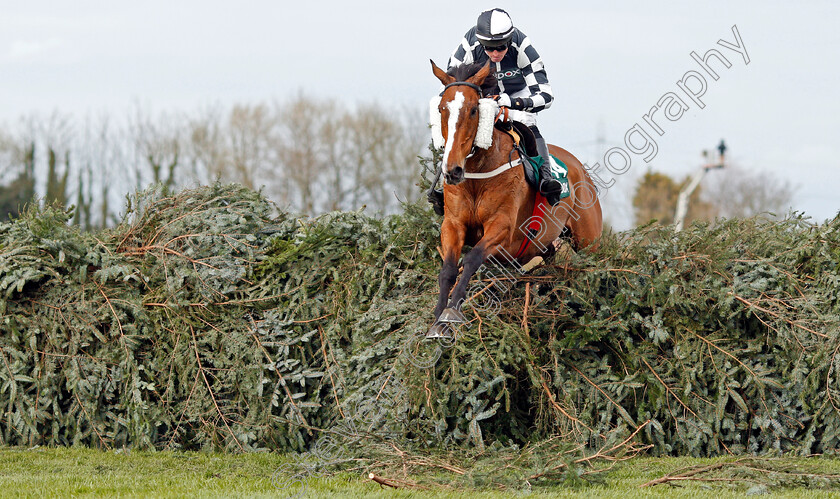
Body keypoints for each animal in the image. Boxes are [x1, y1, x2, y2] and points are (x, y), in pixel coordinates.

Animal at [430, 59, 600, 340]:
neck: (477, 173)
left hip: (588, 239)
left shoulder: (503, 227)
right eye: (442, 108)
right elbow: (448, 269)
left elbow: (473, 258)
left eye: (474, 110)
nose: (452, 170)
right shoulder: (453, 224)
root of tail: (580, 168)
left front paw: (452, 311)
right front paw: (438, 321)